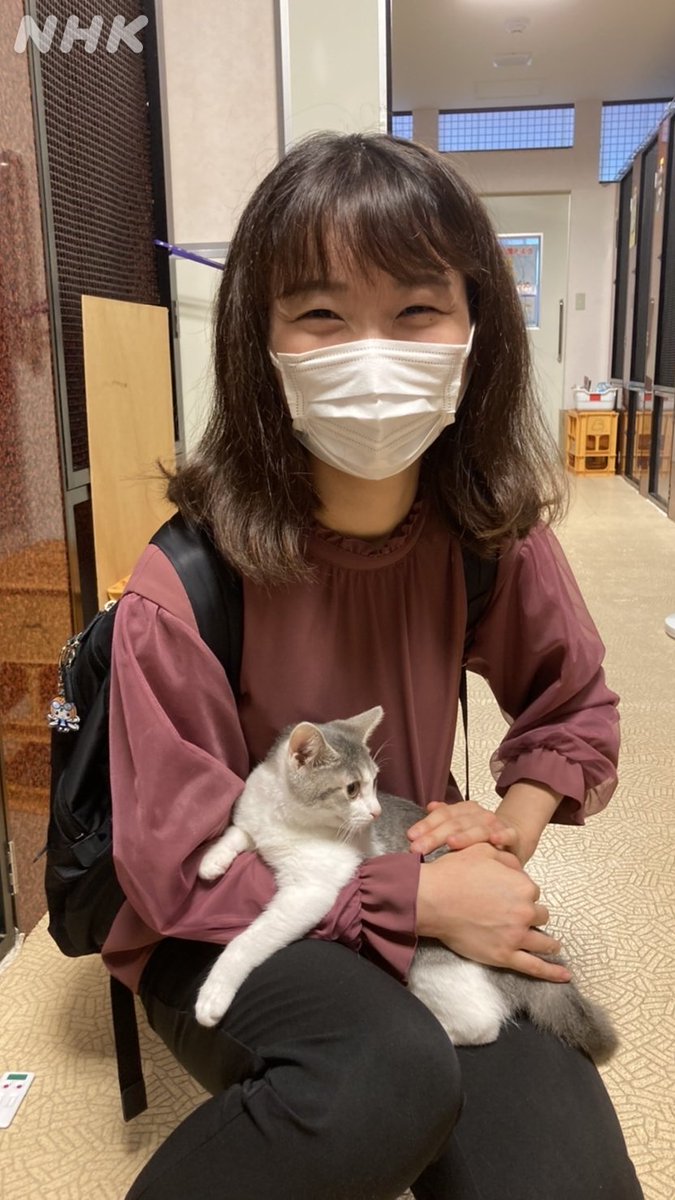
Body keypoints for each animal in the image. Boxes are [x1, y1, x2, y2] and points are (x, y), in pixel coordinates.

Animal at [194, 707, 618, 1064]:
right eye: (352, 788)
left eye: (374, 784)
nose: (376, 811)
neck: (285, 820)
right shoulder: (253, 820)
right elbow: (238, 832)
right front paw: (211, 861)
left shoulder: (310, 892)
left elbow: (250, 940)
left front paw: (214, 993)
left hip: (435, 962)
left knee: (481, 1024)